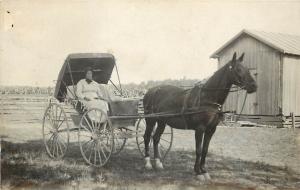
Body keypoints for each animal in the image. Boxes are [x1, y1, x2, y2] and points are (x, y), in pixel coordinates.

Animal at [142, 52, 256, 180]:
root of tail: (150, 91)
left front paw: (204, 171)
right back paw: (148, 163)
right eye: (238, 69)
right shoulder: (200, 129)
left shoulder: (211, 129)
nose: (254, 86)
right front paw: (198, 172)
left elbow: (205, 150)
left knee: (156, 138)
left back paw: (158, 163)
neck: (208, 98)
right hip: (150, 120)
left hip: (162, 121)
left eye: (247, 69)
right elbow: (199, 150)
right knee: (147, 137)